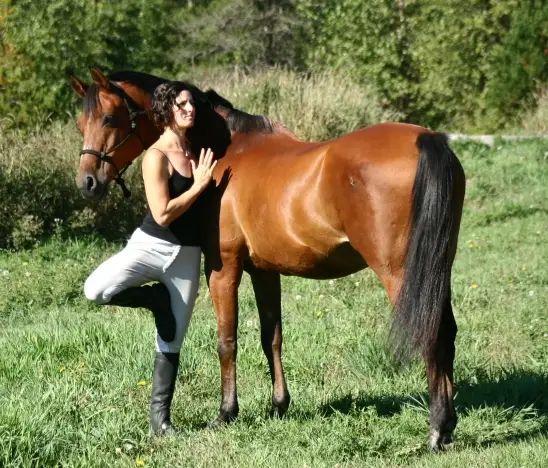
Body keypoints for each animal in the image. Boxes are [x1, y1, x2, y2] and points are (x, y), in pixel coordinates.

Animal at [70, 66, 464, 450]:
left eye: (109, 118)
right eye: (80, 123)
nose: (87, 182)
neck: (227, 151)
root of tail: (425, 139)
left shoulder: (223, 268)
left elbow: (226, 340)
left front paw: (226, 412)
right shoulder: (263, 271)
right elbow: (271, 336)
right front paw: (278, 405)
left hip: (401, 274)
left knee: (431, 333)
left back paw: (436, 430)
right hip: (435, 269)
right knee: (446, 332)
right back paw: (447, 426)